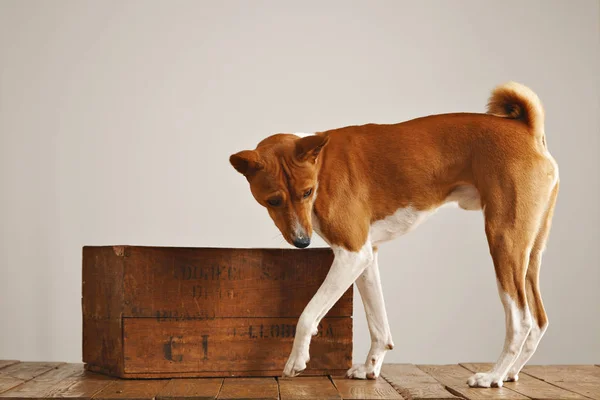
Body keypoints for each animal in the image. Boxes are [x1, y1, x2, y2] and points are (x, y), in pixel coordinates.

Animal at [229, 82, 556, 388]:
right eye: (273, 201)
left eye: (307, 192)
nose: (302, 242)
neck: (321, 166)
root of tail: (526, 129)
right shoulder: (365, 255)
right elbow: (378, 323)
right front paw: (370, 368)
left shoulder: (351, 253)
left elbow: (308, 314)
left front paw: (296, 360)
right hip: (529, 250)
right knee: (539, 320)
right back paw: (511, 373)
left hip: (503, 241)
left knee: (521, 320)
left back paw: (493, 376)